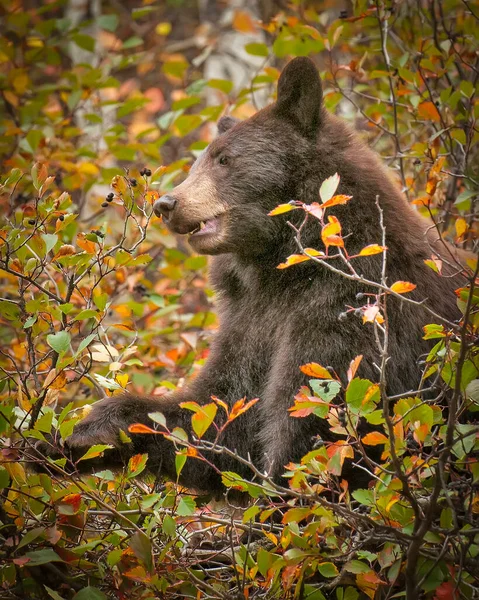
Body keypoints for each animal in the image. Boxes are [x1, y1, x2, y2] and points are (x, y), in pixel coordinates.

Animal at [39, 56, 466, 496]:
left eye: (224, 159)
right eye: (201, 160)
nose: (166, 203)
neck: (286, 267)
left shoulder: (357, 310)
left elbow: (318, 421)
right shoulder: (251, 317)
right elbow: (218, 414)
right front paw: (77, 433)